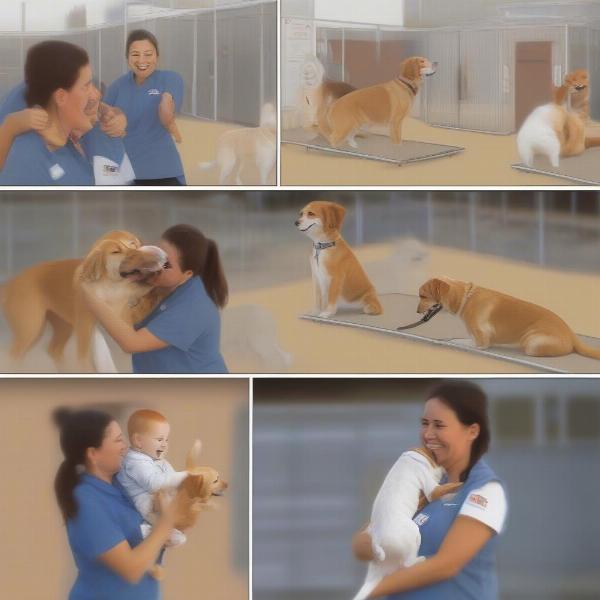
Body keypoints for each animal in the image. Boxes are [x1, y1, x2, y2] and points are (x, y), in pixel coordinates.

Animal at [414, 278, 600, 358]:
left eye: (423, 296)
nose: (416, 311)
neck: (466, 298)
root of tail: (571, 334)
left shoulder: (482, 342)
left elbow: (459, 340)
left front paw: (449, 340)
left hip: (532, 342)